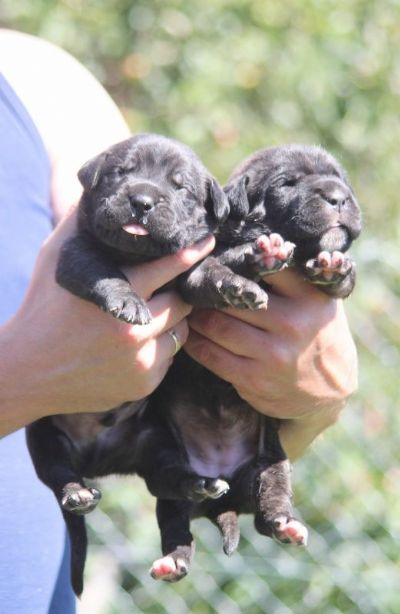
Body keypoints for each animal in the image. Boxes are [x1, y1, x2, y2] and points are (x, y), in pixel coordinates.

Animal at [25, 131, 268, 596]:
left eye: (180, 187)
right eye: (122, 172)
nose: (142, 200)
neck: (141, 257)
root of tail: (99, 461)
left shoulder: (190, 273)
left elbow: (207, 275)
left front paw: (237, 285)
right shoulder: (76, 251)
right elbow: (101, 270)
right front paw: (126, 300)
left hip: (157, 443)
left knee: (168, 478)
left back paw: (201, 485)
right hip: (44, 433)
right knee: (56, 471)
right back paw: (77, 493)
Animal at [129, 144, 362, 584]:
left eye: (341, 179)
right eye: (287, 183)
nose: (338, 197)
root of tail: (222, 503)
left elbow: (342, 281)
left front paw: (333, 266)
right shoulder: (197, 268)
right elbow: (216, 268)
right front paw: (253, 265)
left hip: (270, 467)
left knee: (266, 511)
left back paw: (285, 525)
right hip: (173, 476)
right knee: (174, 519)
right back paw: (174, 561)